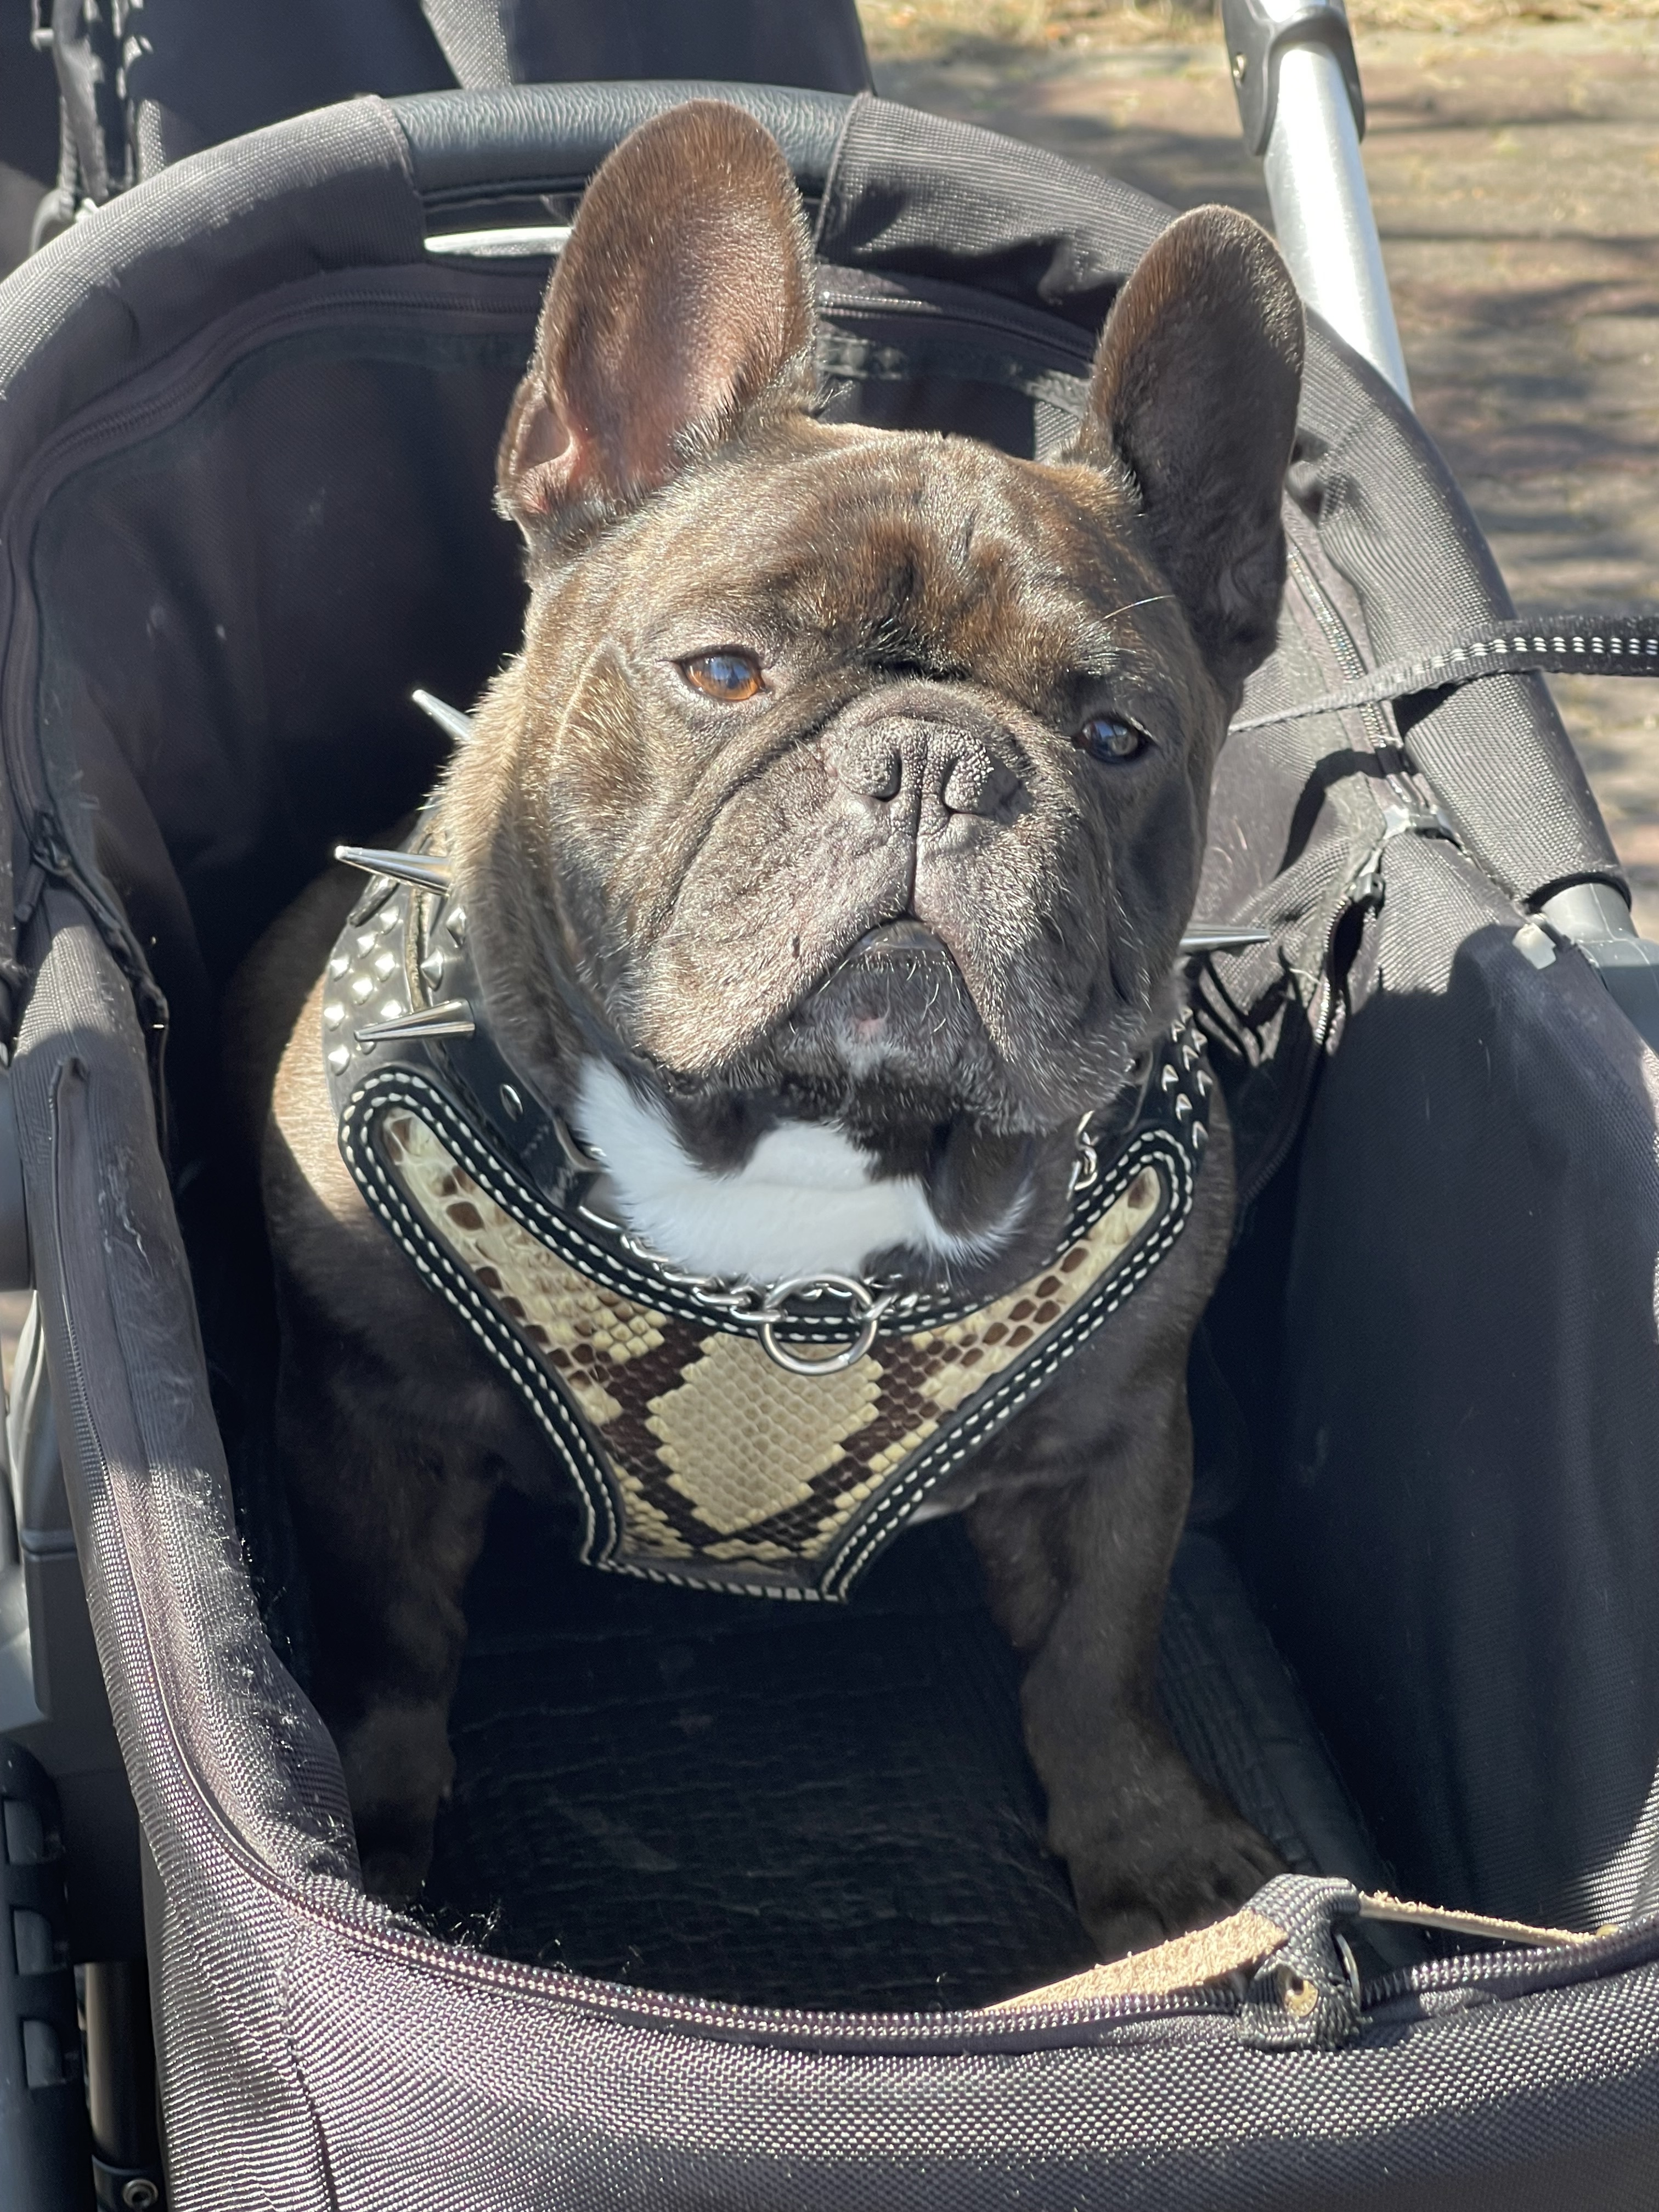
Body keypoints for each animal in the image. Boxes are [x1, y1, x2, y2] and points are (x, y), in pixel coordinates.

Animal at [227, 99, 1304, 1962]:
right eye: (723, 673)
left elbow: (1102, 1655)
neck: (807, 1142)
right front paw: (369, 1839)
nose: (938, 760)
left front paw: (1153, 1851)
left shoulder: (1117, 1440)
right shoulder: (374, 1422)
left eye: (1117, 736)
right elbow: (390, 1648)